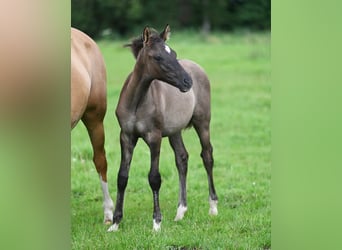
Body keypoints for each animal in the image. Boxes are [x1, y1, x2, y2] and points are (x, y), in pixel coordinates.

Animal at [108, 25, 218, 232]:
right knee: (182, 158)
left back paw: (213, 207)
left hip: (203, 122)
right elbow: (122, 177)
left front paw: (156, 223)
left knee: (207, 156)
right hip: (175, 131)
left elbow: (154, 178)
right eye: (158, 57)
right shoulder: (126, 136)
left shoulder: (154, 137)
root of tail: (197, 67)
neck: (137, 101)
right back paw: (180, 211)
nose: (187, 82)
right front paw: (115, 223)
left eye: (173, 53)